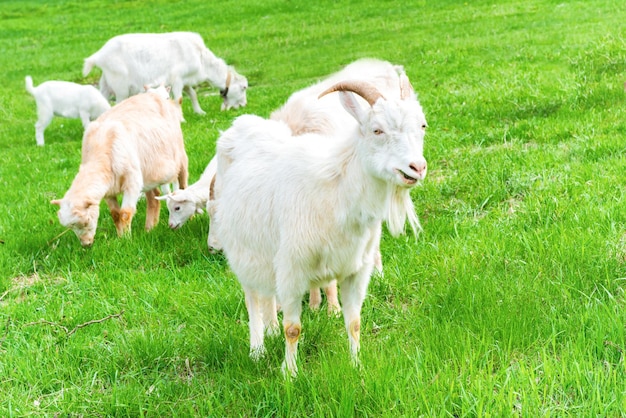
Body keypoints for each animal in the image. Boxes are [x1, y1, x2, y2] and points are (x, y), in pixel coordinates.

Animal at [50, 90, 188, 245]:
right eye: (71, 227)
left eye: (86, 221)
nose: (86, 244)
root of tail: (153, 95)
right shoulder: (109, 191)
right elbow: (115, 214)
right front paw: (120, 237)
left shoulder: (132, 183)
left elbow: (125, 214)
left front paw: (127, 239)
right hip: (147, 174)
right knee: (154, 198)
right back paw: (149, 229)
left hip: (180, 157)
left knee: (183, 184)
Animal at [82, 31, 246, 112]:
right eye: (244, 88)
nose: (244, 105)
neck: (202, 59)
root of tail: (99, 56)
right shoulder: (177, 78)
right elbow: (179, 98)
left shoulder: (185, 80)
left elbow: (192, 94)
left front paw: (200, 112)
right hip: (120, 85)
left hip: (106, 83)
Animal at [213, 76, 424, 376]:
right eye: (377, 130)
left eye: (422, 126)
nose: (417, 167)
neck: (336, 189)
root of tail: (239, 125)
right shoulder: (292, 268)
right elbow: (293, 328)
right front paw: (289, 374)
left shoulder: (356, 270)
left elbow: (354, 322)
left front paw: (357, 365)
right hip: (242, 248)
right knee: (252, 296)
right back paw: (257, 349)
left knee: (266, 294)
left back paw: (271, 330)